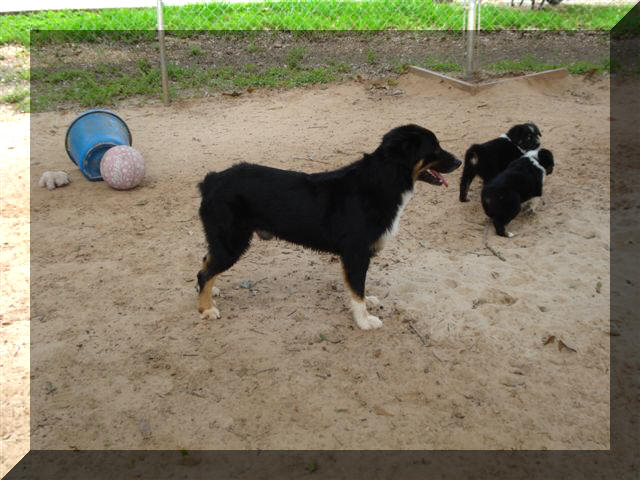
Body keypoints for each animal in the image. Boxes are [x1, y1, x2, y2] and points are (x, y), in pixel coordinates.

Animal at [196, 124, 461, 330]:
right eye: (434, 148)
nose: (459, 161)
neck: (381, 182)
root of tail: (212, 180)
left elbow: (359, 287)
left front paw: (368, 302)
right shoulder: (356, 253)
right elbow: (357, 289)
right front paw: (365, 321)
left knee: (206, 262)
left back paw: (210, 292)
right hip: (232, 242)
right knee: (204, 272)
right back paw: (206, 308)